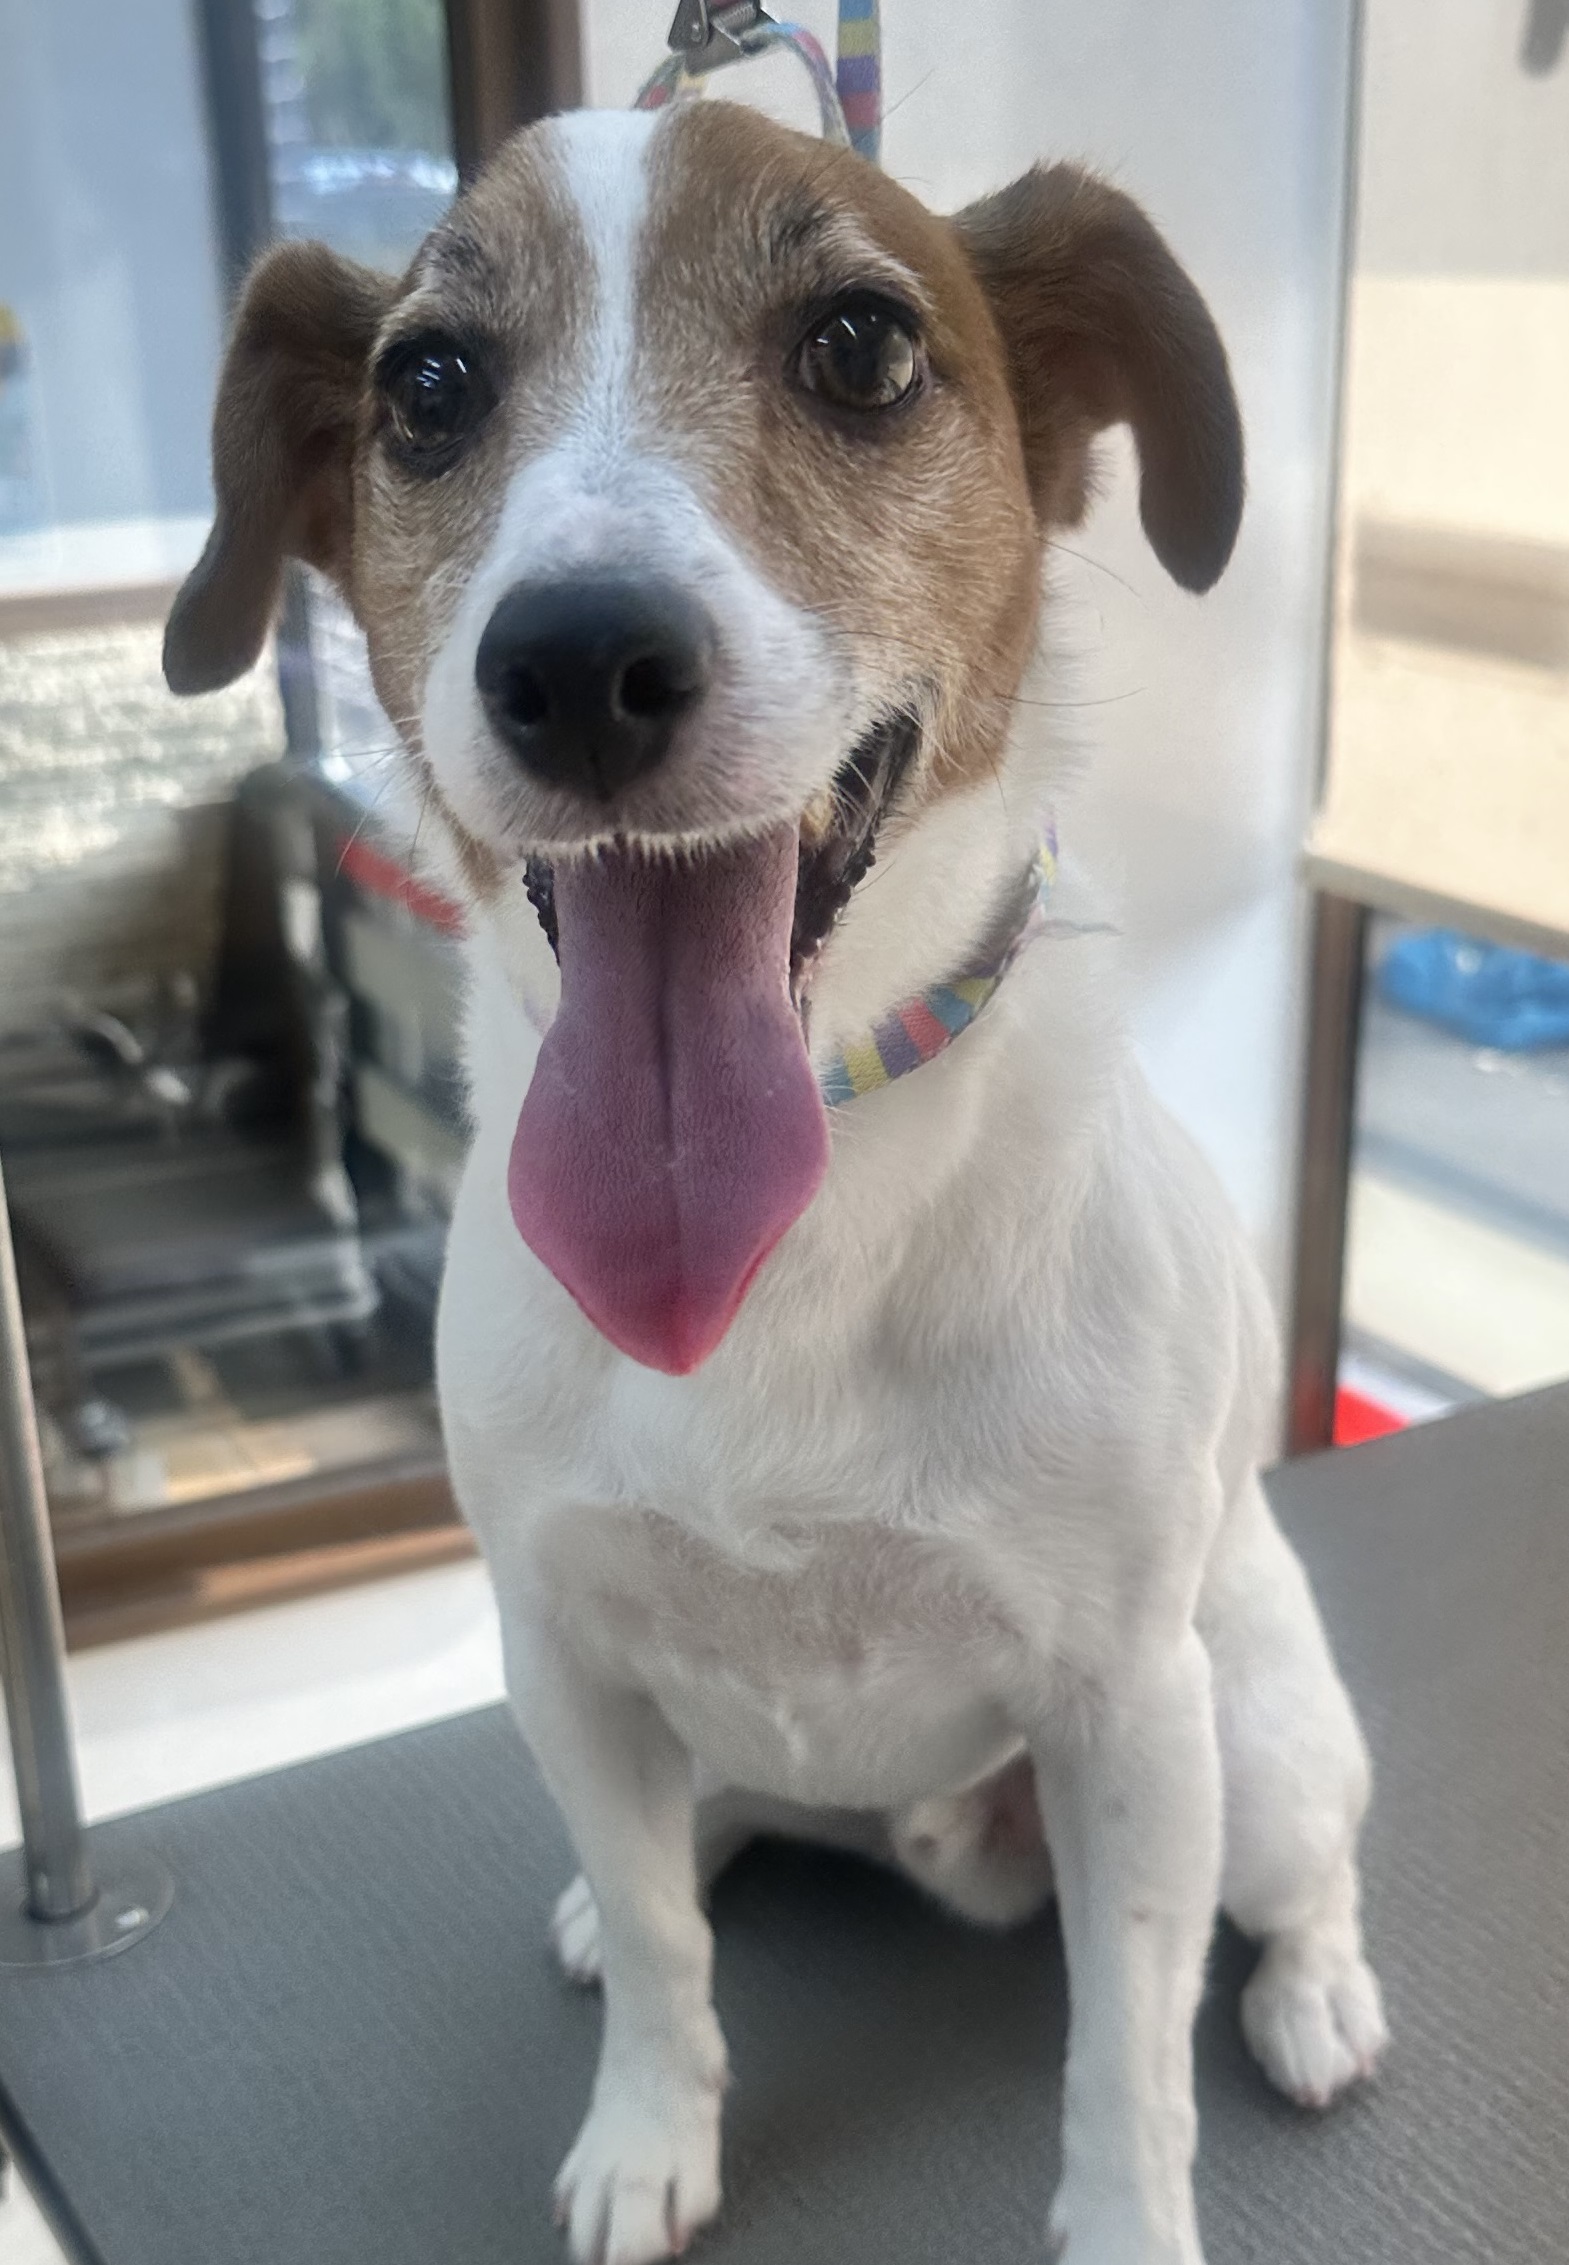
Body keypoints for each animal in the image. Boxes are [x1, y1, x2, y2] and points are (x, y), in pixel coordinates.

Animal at [167, 98, 1387, 2265]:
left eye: (860, 346)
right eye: (427, 386)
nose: (575, 661)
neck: (788, 1229)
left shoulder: (1121, 1708)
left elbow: (1122, 2046)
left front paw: (1128, 2213)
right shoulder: (561, 1649)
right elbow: (671, 1955)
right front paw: (652, 2126)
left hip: (1242, 1725)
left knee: (1291, 1879)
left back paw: (1315, 1995)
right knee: (680, 1847)